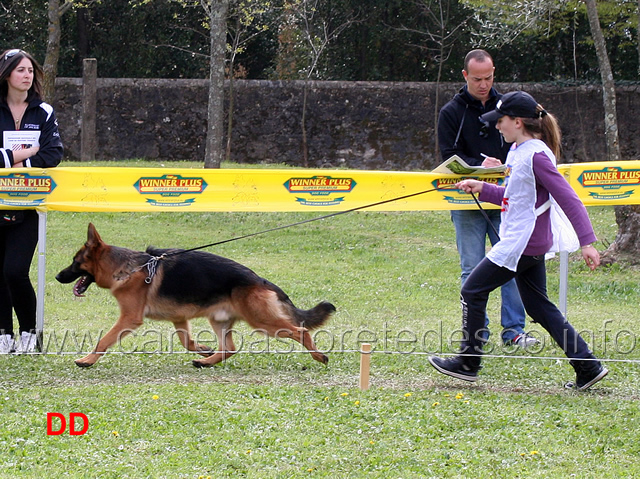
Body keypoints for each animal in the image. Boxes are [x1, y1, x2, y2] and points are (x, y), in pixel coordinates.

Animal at [55, 224, 336, 368]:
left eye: (75, 262)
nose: (57, 276)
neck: (129, 267)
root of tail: (260, 280)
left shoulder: (129, 318)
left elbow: (104, 340)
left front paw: (87, 360)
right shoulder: (179, 319)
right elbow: (186, 342)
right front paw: (202, 348)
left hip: (262, 322)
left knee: (301, 331)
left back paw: (319, 356)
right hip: (220, 320)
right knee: (229, 348)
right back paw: (207, 361)